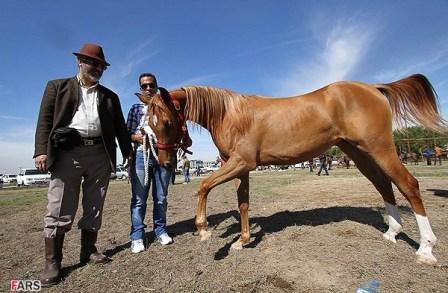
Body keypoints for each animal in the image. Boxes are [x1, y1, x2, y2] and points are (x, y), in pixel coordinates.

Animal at [164, 73, 444, 262]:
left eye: (165, 120)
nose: (166, 160)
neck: (230, 113)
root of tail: (374, 87)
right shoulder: (239, 168)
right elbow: (242, 204)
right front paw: (241, 241)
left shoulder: (241, 162)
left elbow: (203, 185)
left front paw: (203, 230)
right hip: (359, 152)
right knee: (384, 184)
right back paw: (392, 232)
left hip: (380, 148)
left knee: (408, 184)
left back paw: (426, 248)